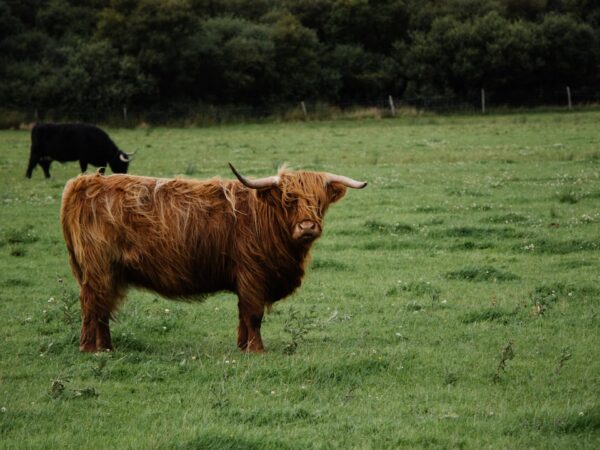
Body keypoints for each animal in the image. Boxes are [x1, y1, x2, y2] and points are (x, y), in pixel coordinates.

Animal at [61, 163, 366, 354]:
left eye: (319, 202)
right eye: (288, 200)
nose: (307, 227)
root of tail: (84, 182)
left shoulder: (246, 280)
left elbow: (243, 315)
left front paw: (242, 347)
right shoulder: (252, 275)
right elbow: (253, 315)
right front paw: (257, 350)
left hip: (110, 273)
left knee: (103, 309)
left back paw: (107, 348)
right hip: (99, 269)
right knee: (92, 306)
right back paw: (89, 349)